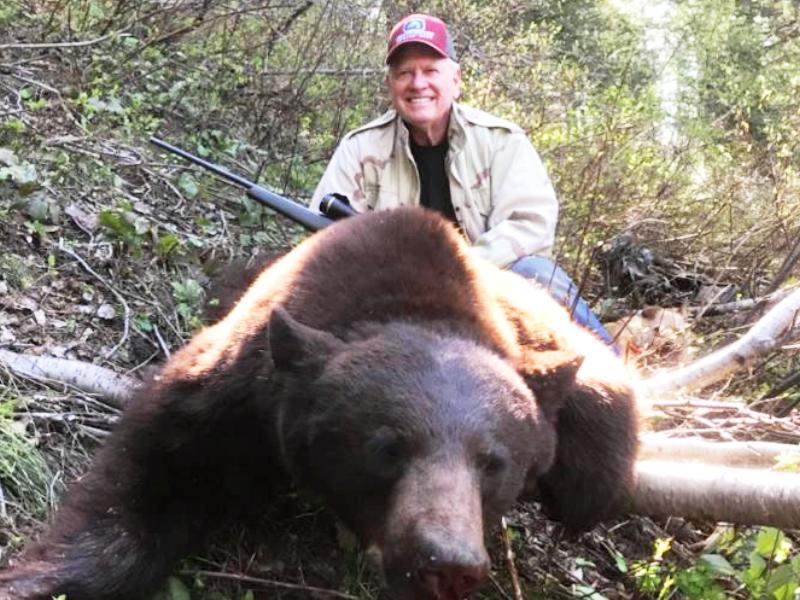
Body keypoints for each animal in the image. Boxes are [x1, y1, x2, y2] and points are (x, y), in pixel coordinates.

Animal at [0, 207, 638, 600]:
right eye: (387, 448)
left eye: (494, 462)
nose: (447, 563)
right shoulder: (240, 386)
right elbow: (149, 473)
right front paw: (34, 579)